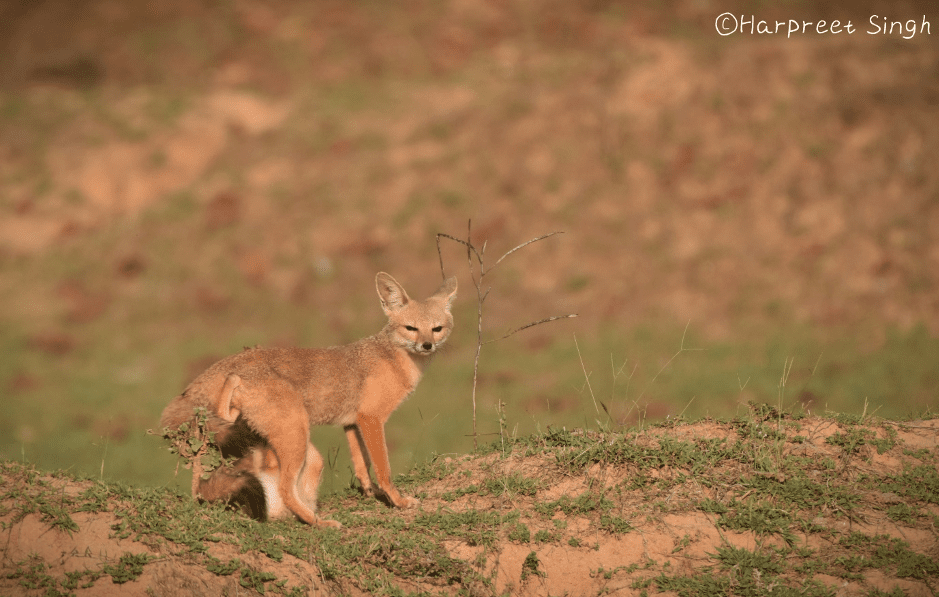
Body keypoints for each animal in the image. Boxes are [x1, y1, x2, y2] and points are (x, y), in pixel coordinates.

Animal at [159, 270, 458, 528]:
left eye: (436, 329)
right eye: (411, 328)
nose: (427, 345)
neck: (395, 360)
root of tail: (239, 366)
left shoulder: (351, 423)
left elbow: (362, 465)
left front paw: (369, 492)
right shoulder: (372, 419)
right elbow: (383, 468)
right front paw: (398, 501)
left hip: (304, 453)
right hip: (297, 440)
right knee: (284, 490)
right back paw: (319, 523)